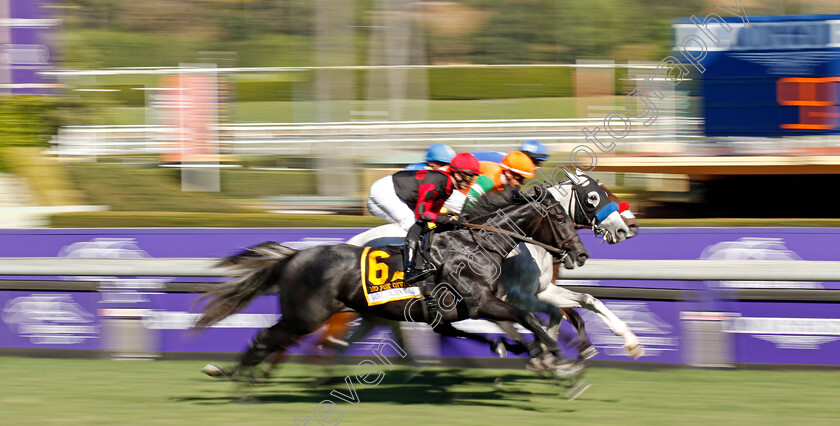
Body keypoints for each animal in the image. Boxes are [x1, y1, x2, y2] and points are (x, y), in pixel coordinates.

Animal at [193, 190, 588, 376]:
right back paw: (235, 377)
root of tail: (294, 257)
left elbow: (515, 326)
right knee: (269, 339)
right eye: (558, 217)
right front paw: (555, 357)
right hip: (305, 315)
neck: (475, 245)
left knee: (282, 341)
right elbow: (529, 319)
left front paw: (533, 353)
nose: (581, 254)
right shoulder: (480, 302)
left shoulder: (454, 311)